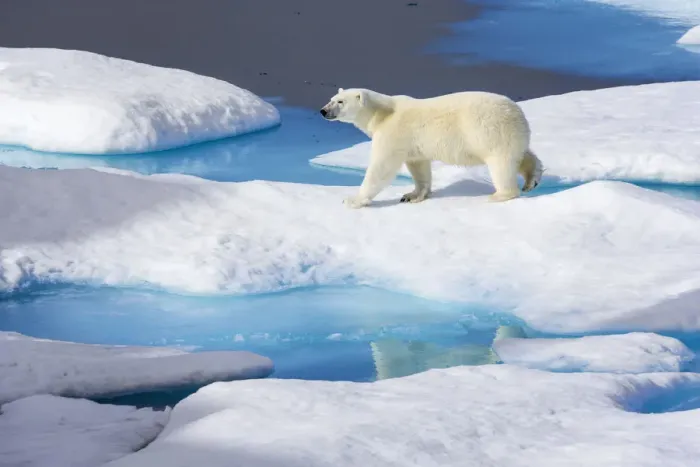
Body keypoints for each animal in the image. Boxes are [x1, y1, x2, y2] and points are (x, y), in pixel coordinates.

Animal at [320, 87, 543, 208]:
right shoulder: (413, 143)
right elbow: (418, 166)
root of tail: (517, 112)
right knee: (522, 154)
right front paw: (412, 195)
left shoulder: (393, 133)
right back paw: (531, 179)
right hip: (508, 134)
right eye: (331, 99)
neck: (382, 113)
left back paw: (500, 194)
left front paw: (353, 200)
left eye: (340, 101)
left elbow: (381, 167)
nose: (323, 111)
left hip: (488, 130)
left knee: (501, 163)